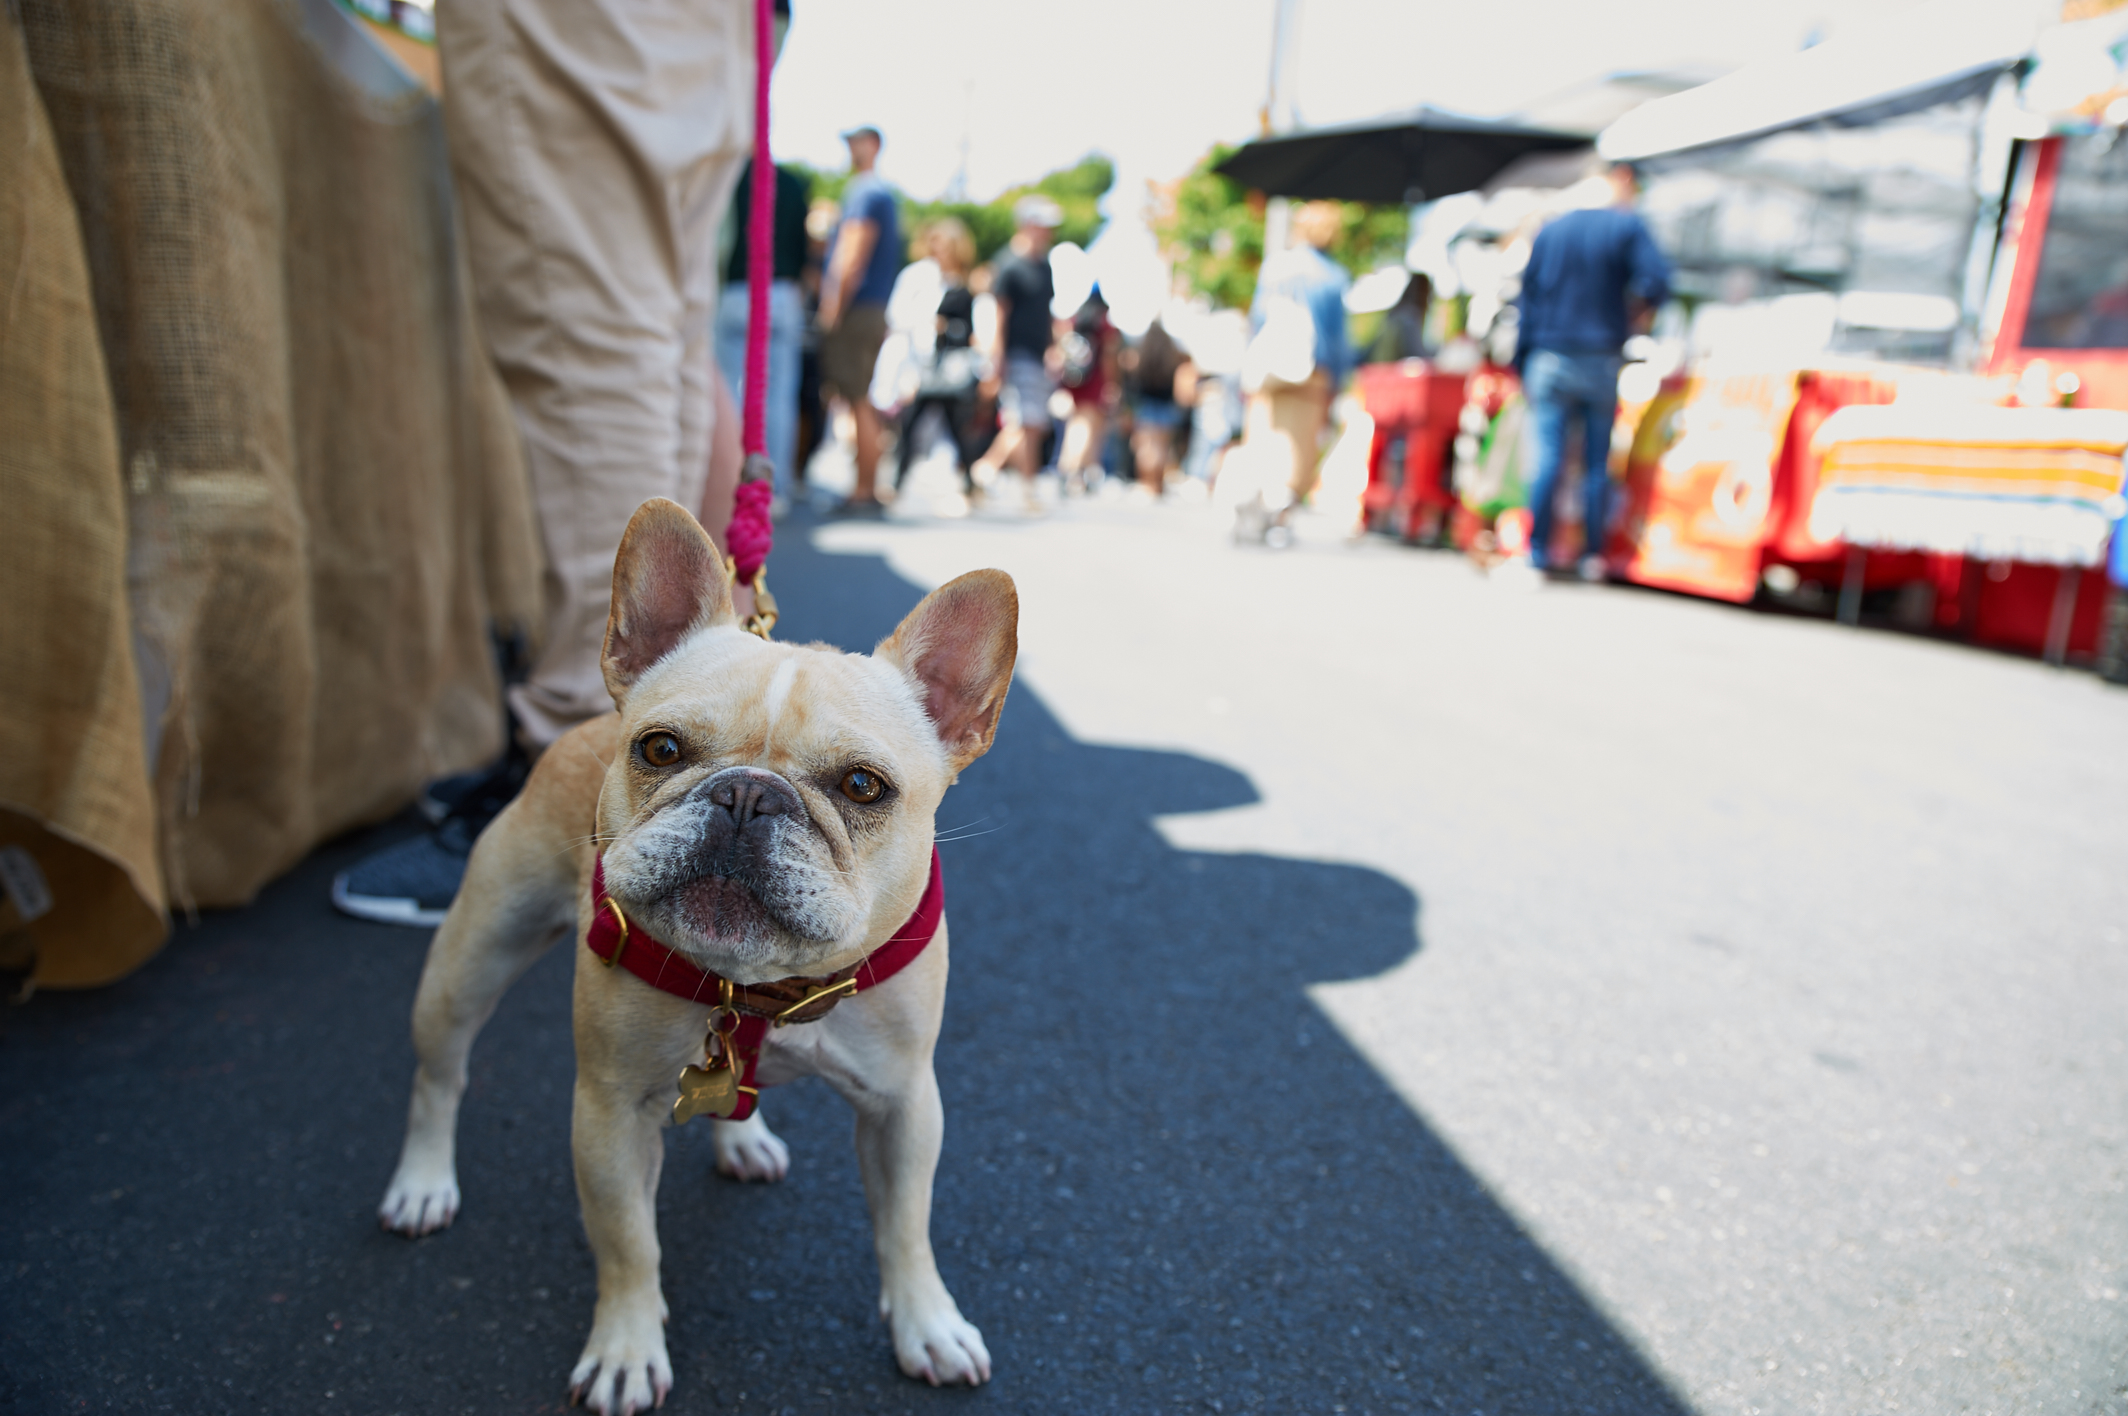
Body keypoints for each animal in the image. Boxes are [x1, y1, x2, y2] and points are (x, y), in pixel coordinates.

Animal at [378, 494, 1017, 1405]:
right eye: (661, 749)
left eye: (864, 787)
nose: (747, 794)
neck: (759, 990)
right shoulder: (607, 1114)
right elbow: (626, 1242)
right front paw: (624, 1349)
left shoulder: (905, 1107)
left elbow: (907, 1227)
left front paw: (928, 1325)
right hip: (470, 959)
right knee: (441, 1075)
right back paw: (423, 1183)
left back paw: (741, 1139)